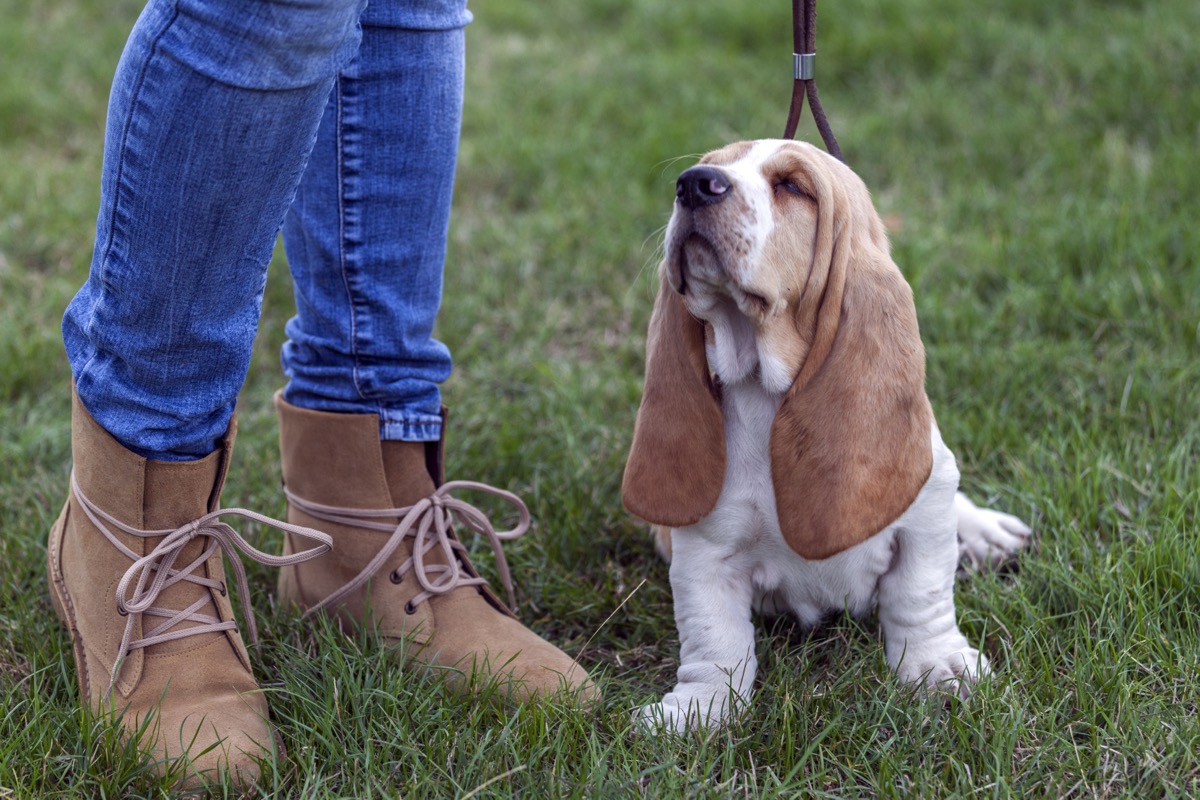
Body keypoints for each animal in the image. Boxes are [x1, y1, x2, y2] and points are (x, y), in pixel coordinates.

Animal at [624, 139, 1027, 734]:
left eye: (793, 186)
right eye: (706, 165)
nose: (693, 183)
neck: (764, 387)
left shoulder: (924, 518)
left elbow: (920, 595)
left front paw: (939, 667)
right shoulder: (704, 550)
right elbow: (713, 638)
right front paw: (699, 709)